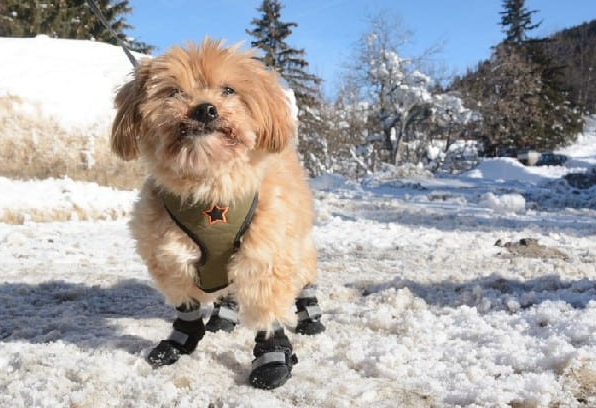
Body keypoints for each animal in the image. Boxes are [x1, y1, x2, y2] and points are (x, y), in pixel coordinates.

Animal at [111, 38, 325, 389]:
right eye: (173, 92)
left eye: (228, 90)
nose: (204, 108)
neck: (209, 189)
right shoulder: (165, 252)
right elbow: (186, 301)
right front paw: (181, 340)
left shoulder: (266, 253)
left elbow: (267, 309)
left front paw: (272, 358)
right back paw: (223, 317)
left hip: (296, 242)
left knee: (305, 280)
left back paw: (311, 317)